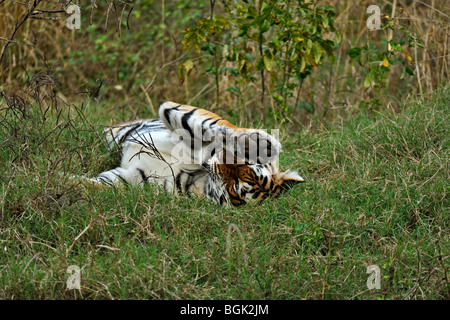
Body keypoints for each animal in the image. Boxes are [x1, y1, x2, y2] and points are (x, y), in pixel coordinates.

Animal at [88, 102, 306, 208]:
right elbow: (211, 127)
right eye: (248, 164)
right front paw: (260, 143)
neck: (200, 177)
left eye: (235, 186)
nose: (223, 159)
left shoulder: (128, 180)